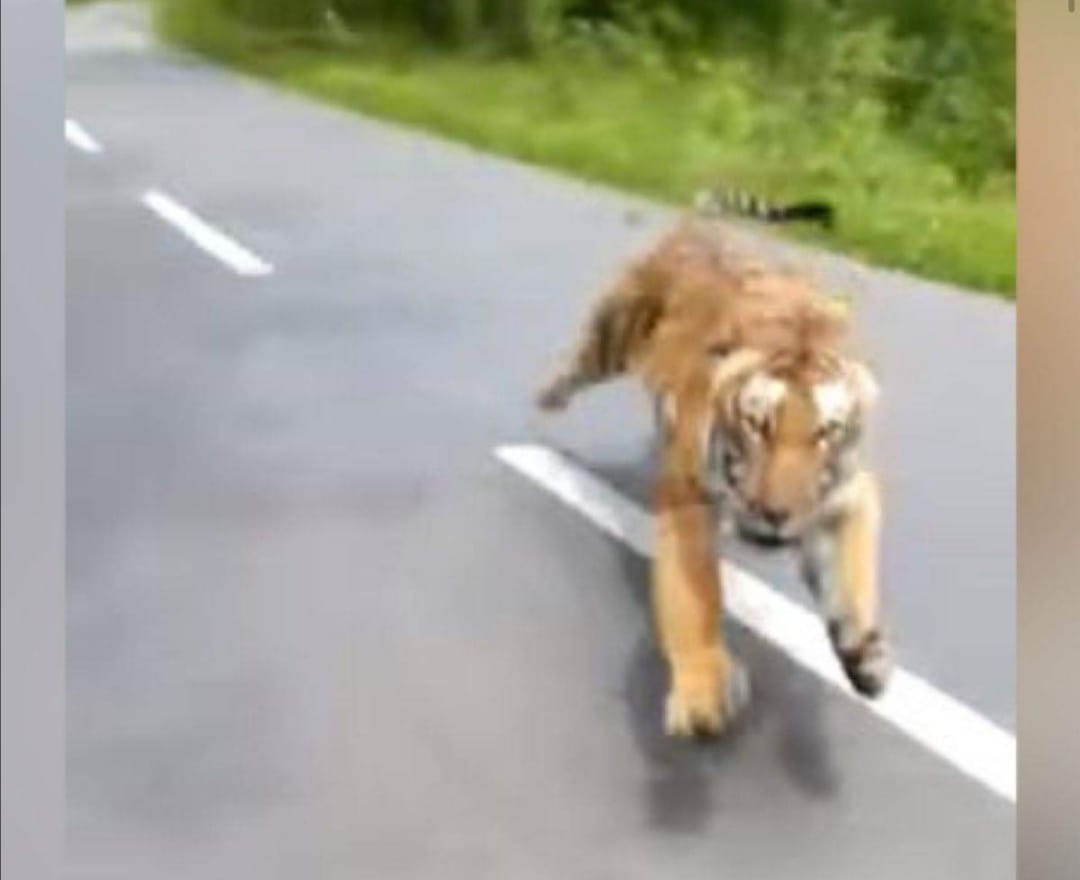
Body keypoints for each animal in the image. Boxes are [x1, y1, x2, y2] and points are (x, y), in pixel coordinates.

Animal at [536, 215, 891, 737]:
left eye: (826, 432)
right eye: (758, 425)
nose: (776, 513)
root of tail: (706, 220)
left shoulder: (847, 494)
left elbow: (852, 577)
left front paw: (864, 656)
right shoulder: (688, 497)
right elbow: (696, 596)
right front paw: (704, 694)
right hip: (613, 331)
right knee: (575, 365)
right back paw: (545, 399)